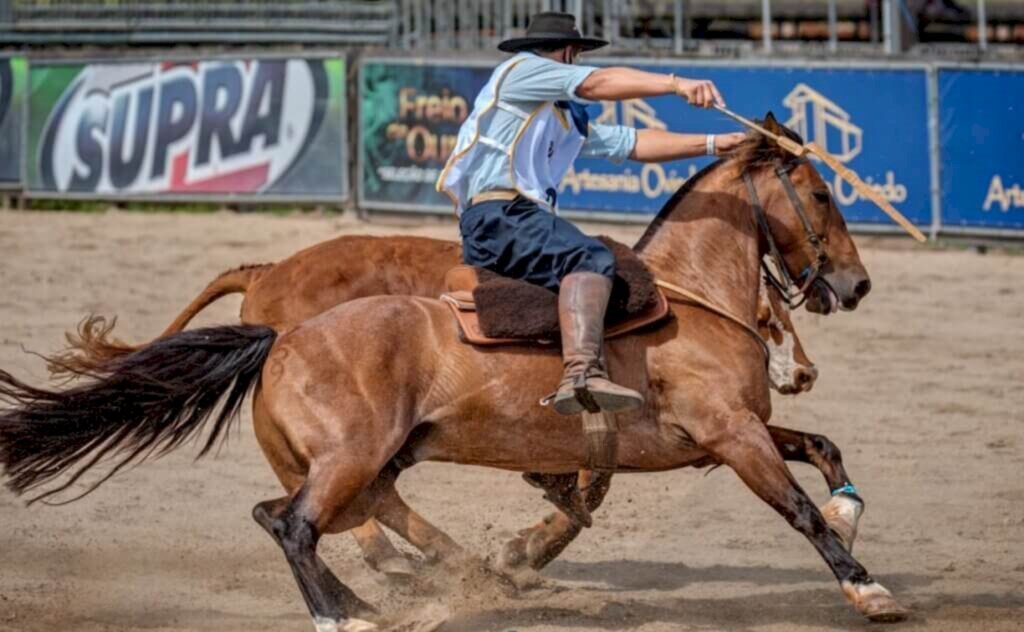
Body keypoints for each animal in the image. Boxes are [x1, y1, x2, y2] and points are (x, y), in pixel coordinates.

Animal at [0, 119, 901, 630]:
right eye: (822, 194)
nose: (856, 285)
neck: (684, 297)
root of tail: (277, 332)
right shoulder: (728, 434)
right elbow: (794, 508)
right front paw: (866, 589)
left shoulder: (734, 431)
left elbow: (822, 449)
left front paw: (852, 516)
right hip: (350, 458)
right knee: (295, 525)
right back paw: (358, 613)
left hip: (370, 461)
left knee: (303, 515)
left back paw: (406, 587)